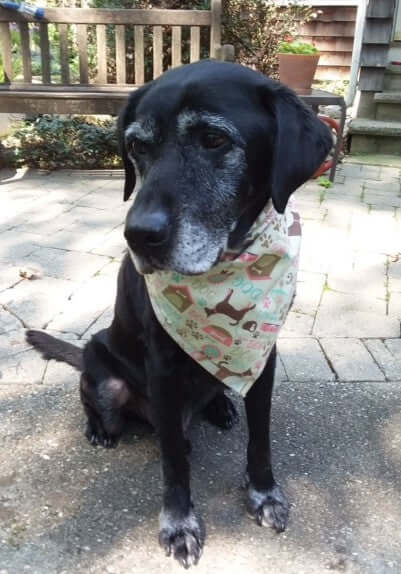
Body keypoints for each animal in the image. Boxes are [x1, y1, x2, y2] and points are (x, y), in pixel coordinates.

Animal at [26, 59, 330, 572]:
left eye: (213, 139)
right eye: (136, 146)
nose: (138, 235)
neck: (226, 266)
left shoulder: (260, 357)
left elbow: (261, 438)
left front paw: (264, 493)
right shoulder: (163, 369)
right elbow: (173, 462)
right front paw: (179, 524)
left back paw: (221, 405)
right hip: (104, 371)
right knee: (102, 403)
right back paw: (99, 429)